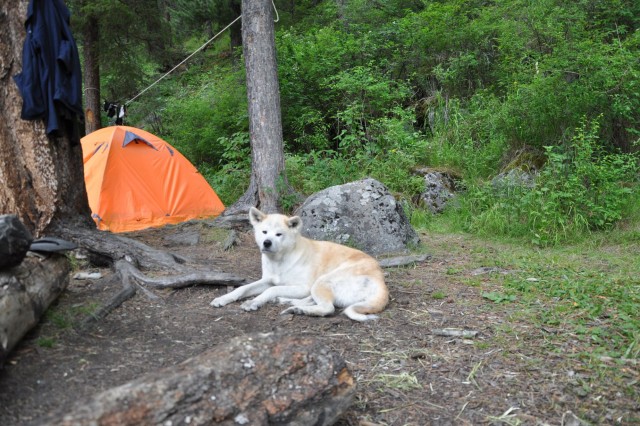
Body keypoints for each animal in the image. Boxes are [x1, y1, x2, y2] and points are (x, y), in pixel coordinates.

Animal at [211, 208, 390, 322]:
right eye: (264, 232)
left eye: (279, 234)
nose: (267, 243)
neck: (280, 261)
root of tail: (381, 283)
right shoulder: (267, 280)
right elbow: (242, 288)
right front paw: (223, 299)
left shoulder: (302, 287)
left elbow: (270, 290)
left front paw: (253, 302)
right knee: (315, 301)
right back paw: (288, 303)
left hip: (322, 281)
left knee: (327, 307)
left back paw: (297, 309)